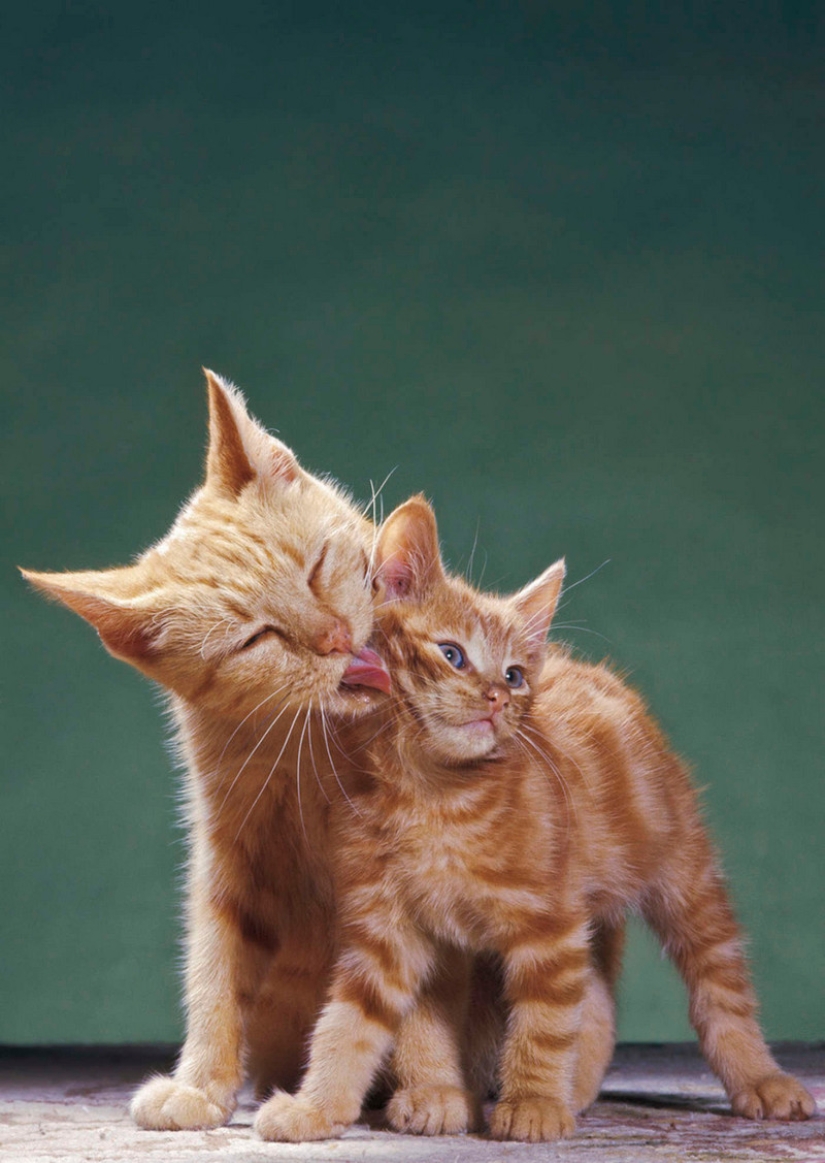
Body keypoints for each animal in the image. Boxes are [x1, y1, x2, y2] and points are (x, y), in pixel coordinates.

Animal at [259, 493, 819, 1144]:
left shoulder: (548, 923)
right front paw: (328, 1105)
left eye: (515, 675)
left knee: (716, 982)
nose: (499, 699)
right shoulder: (391, 931)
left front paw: (533, 1102)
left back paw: (757, 1078)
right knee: (592, 991)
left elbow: (546, 1023)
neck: (434, 797)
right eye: (452, 655)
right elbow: (354, 1024)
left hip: (684, 873)